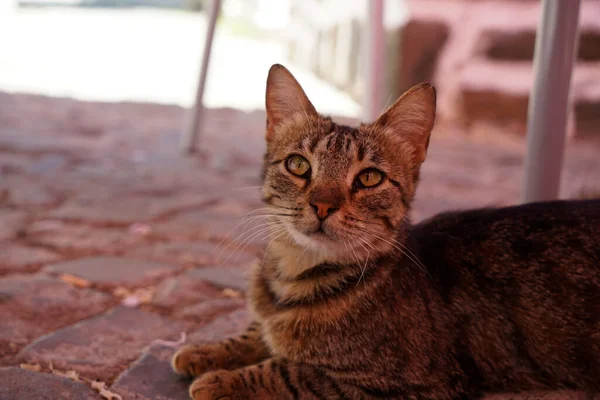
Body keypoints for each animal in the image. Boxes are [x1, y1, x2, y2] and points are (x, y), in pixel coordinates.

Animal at [172, 64, 600, 398]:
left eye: (369, 178)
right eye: (298, 165)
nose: (323, 205)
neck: (293, 274)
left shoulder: (405, 382)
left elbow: (293, 372)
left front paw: (222, 380)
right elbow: (256, 331)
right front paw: (207, 350)